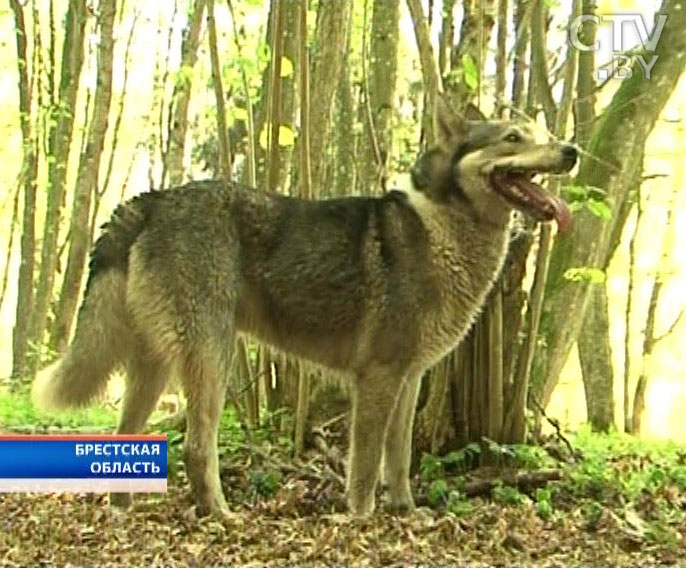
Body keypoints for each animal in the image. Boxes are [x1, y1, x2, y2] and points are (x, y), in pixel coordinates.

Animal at [33, 97, 580, 516]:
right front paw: (360, 520)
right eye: (513, 137)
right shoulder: (378, 378)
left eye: (544, 133)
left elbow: (399, 460)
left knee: (125, 435)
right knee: (196, 446)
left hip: (156, 368)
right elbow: (365, 466)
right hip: (211, 359)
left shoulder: (409, 381)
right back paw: (221, 515)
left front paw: (406, 514)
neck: (441, 229)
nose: (573, 150)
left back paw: (125, 510)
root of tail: (156, 198)